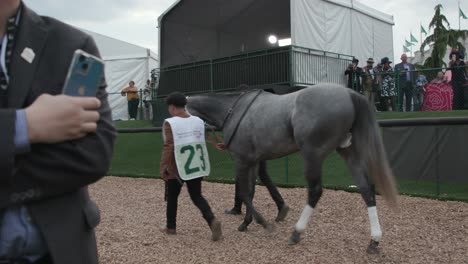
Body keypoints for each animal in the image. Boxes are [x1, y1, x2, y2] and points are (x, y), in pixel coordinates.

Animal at [185, 83, 396, 253]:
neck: (233, 111)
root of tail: (349, 93)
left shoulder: (241, 160)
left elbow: (244, 192)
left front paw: (263, 223)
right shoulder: (253, 161)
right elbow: (251, 191)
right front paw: (246, 223)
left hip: (312, 154)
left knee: (315, 191)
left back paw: (296, 232)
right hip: (348, 151)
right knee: (366, 188)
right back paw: (374, 240)